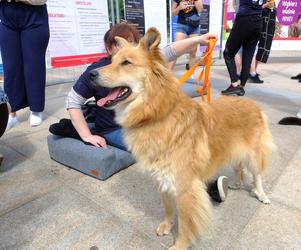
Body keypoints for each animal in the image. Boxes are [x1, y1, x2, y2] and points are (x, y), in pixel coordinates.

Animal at [91, 27, 274, 250]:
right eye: (112, 60)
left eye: (126, 63)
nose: (91, 74)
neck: (157, 114)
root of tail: (253, 104)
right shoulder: (163, 179)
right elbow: (168, 208)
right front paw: (167, 225)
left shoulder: (186, 188)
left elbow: (186, 223)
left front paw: (179, 244)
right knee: (239, 168)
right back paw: (237, 184)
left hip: (254, 155)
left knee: (257, 176)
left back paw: (261, 194)